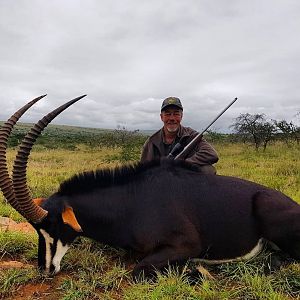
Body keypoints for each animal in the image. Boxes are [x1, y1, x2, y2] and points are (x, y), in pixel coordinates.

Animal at [0, 96, 300, 278]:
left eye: (53, 226)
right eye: (36, 230)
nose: (45, 270)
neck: (130, 203)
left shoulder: (186, 245)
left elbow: (138, 269)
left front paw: (196, 271)